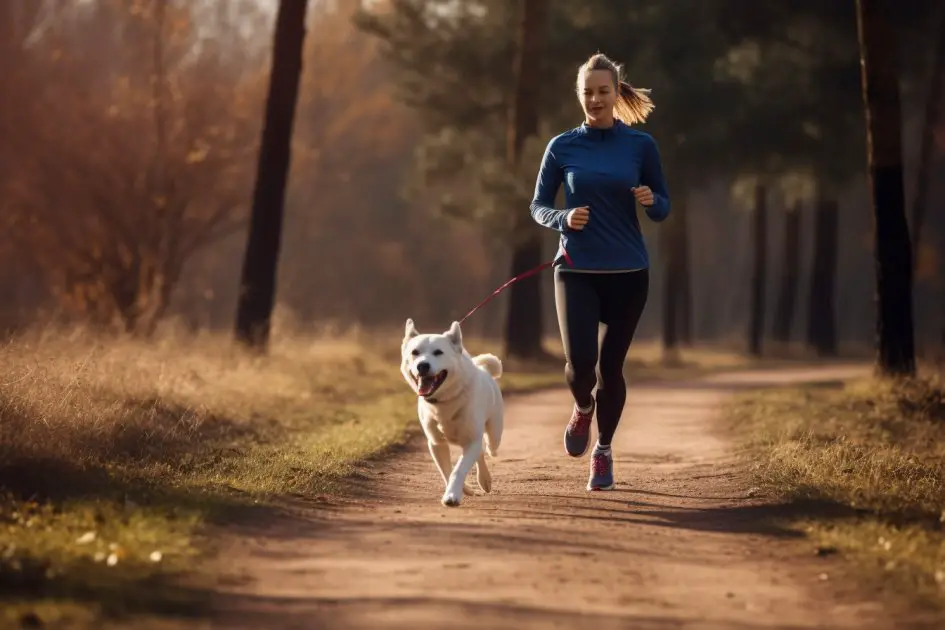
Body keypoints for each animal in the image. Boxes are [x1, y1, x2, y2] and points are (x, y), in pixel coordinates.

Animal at [402, 320, 506, 508]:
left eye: (438, 352)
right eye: (415, 352)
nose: (422, 366)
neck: (444, 401)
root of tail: (483, 369)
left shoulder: (472, 439)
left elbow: (458, 470)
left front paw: (452, 496)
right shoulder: (436, 443)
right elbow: (447, 471)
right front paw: (463, 489)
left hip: (494, 435)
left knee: (488, 448)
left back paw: (485, 479)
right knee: (479, 452)